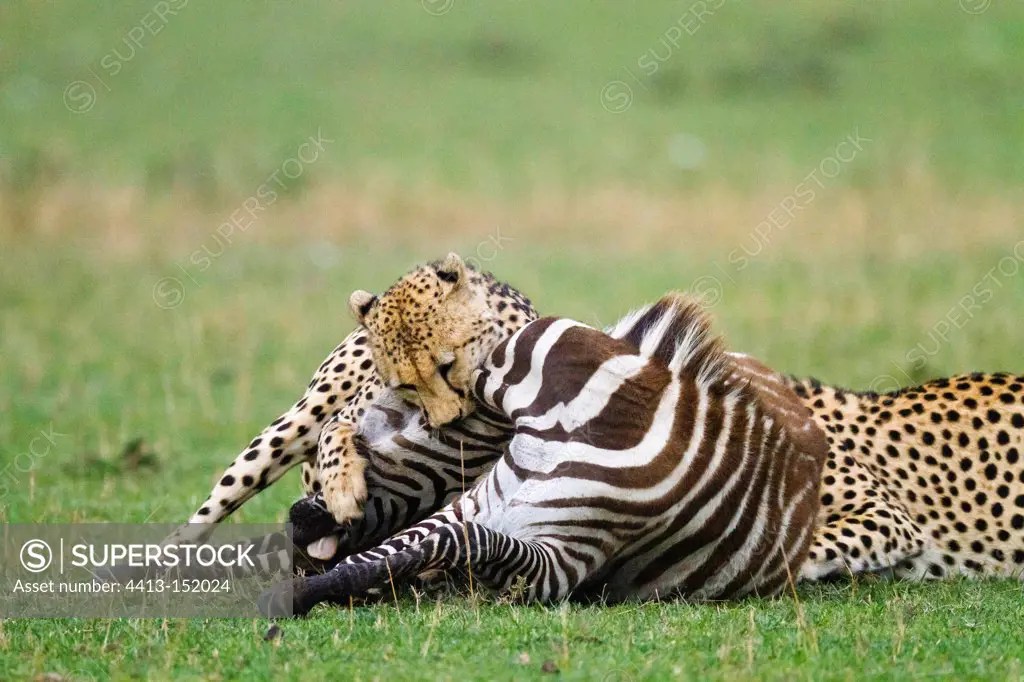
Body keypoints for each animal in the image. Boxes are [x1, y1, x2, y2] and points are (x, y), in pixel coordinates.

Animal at [259, 293, 828, 616]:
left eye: (395, 419)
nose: (297, 518)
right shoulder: (475, 503)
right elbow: (390, 552)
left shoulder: (557, 567)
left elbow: (453, 545)